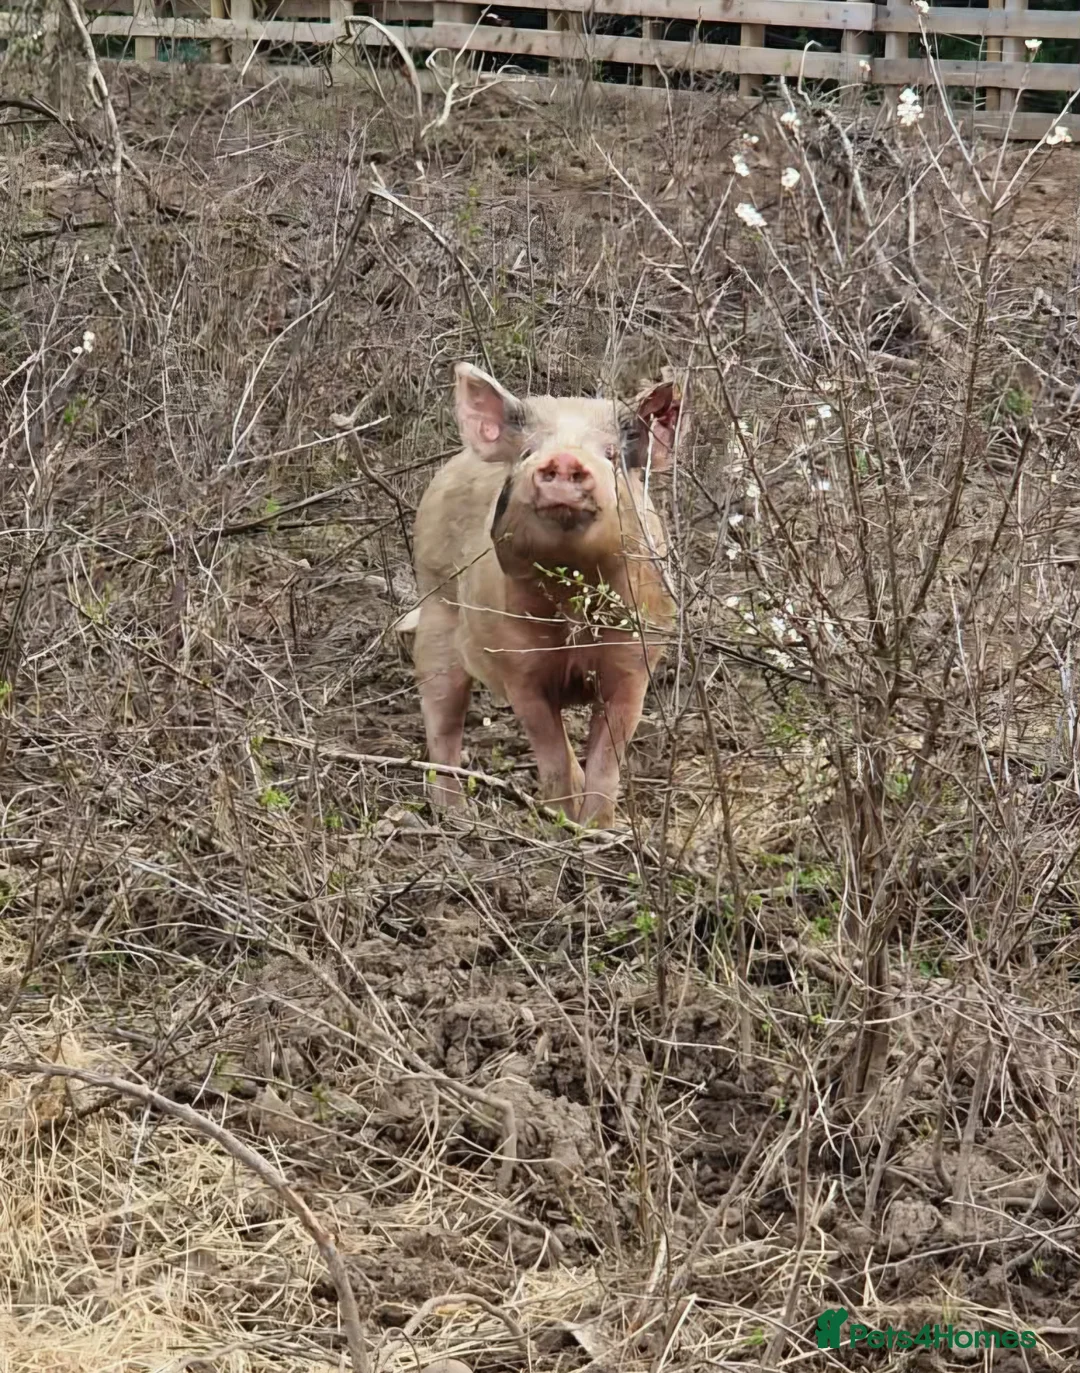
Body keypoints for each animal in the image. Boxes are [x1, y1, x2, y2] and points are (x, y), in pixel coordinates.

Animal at [408, 362, 683, 829]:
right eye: (527, 453)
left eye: (611, 454)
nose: (565, 458)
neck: (571, 598)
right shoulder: (519, 666)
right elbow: (551, 750)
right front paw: (563, 821)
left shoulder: (634, 659)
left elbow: (607, 757)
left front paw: (596, 830)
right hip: (435, 613)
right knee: (441, 722)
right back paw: (457, 817)